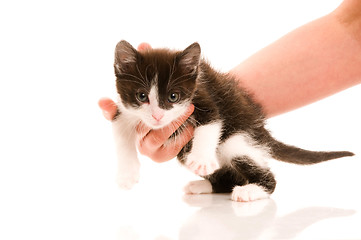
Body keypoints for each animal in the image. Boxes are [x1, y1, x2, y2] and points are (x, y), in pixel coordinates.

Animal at [111, 40, 352, 202]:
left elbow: (211, 122)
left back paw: (251, 190)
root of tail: (261, 130)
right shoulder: (124, 109)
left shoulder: (205, 97)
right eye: (142, 96)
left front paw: (201, 160)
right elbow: (120, 133)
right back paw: (205, 185)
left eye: (173, 96)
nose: (157, 116)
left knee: (261, 171)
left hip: (238, 139)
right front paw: (126, 173)